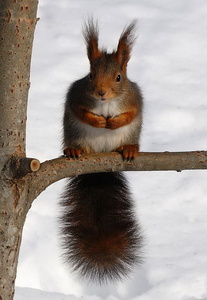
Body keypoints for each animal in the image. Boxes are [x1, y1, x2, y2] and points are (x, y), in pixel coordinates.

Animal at [59, 19, 143, 284]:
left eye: (118, 77)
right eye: (90, 76)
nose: (101, 93)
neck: (106, 105)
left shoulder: (135, 100)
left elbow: (130, 114)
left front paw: (113, 123)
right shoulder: (76, 96)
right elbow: (80, 110)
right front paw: (98, 121)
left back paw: (129, 148)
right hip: (74, 133)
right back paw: (75, 150)